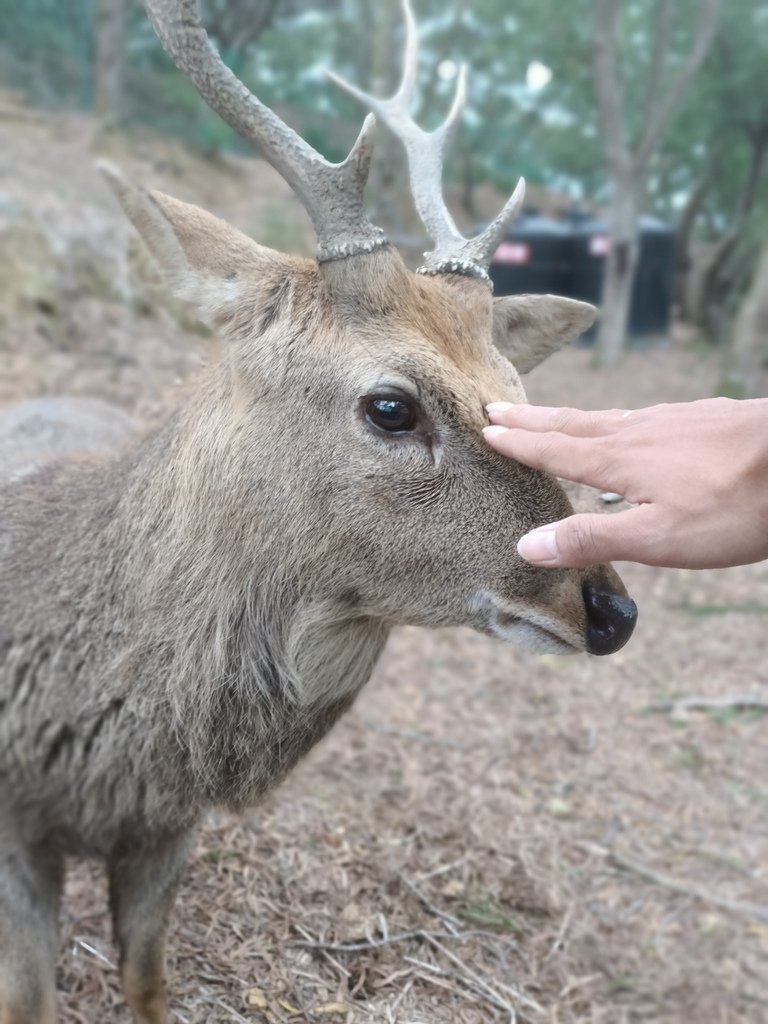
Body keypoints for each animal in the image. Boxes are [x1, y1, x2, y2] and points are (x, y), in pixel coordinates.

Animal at [0, 2, 638, 1024]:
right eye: (391, 405)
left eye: (515, 389)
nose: (611, 608)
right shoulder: (16, 834)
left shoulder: (169, 831)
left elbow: (148, 983)